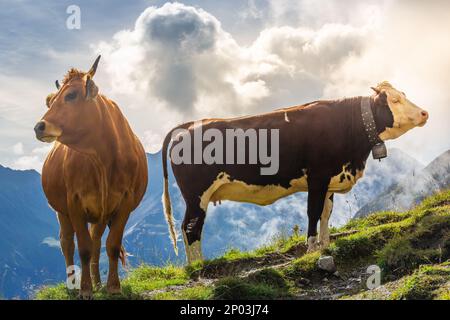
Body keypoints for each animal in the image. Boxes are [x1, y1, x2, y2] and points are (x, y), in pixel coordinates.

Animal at [35, 56, 148, 298]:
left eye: (70, 95)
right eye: (52, 101)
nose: (39, 126)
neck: (103, 159)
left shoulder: (124, 202)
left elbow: (111, 245)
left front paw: (112, 287)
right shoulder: (74, 202)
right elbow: (83, 249)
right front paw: (85, 289)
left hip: (100, 213)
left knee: (96, 240)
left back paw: (98, 283)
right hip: (61, 210)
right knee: (67, 243)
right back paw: (73, 285)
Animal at [162, 81, 428, 264]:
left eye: (403, 95)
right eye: (394, 100)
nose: (425, 113)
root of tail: (188, 126)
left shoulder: (330, 179)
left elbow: (326, 213)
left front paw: (325, 244)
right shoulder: (317, 176)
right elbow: (313, 212)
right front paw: (311, 249)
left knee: (189, 227)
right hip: (196, 194)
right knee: (191, 227)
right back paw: (198, 267)